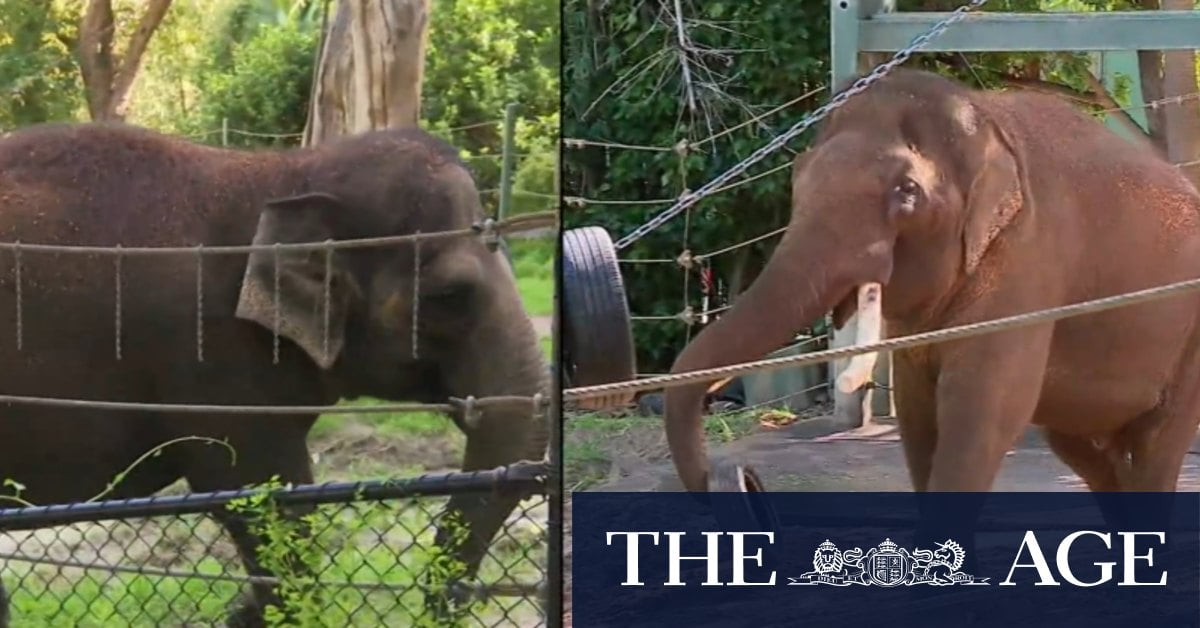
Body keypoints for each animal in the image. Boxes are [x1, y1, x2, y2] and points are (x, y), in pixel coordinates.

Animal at [662, 69, 1200, 497]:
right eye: (797, 178)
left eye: (907, 192)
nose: (738, 475)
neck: (985, 118)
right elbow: (918, 415)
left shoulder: (1028, 264)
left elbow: (982, 412)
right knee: (1078, 444)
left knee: (1156, 443)